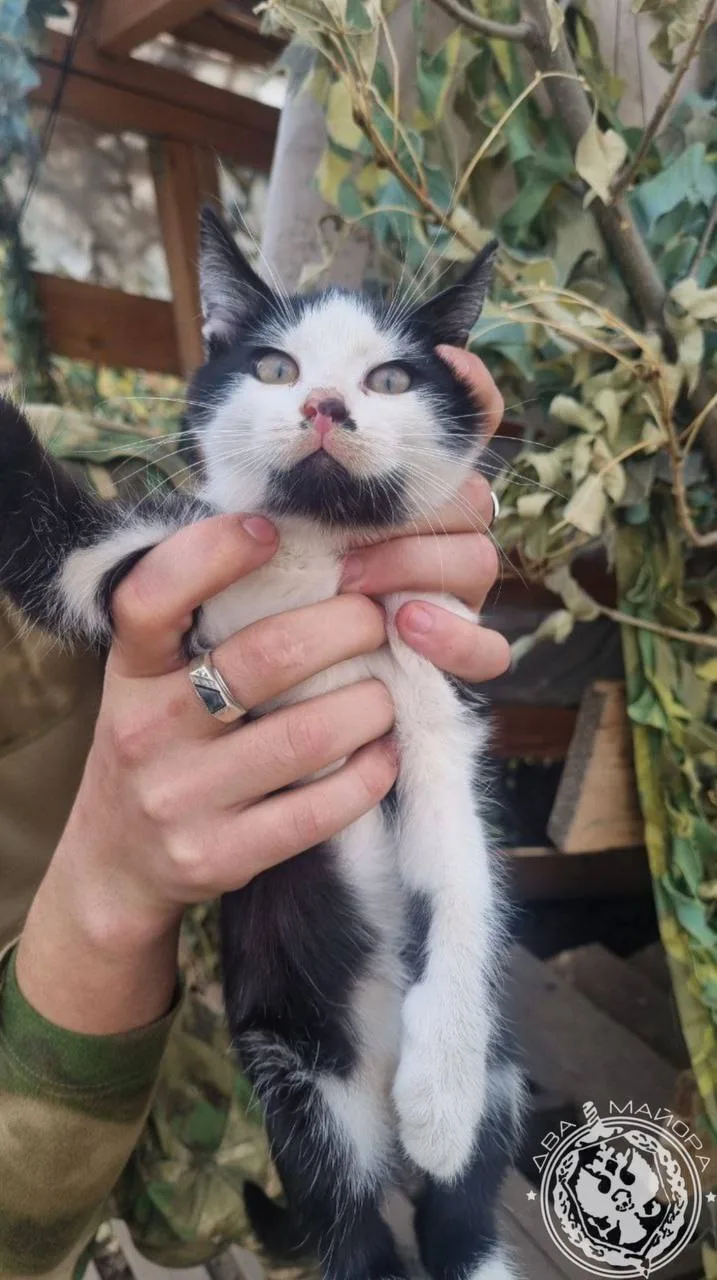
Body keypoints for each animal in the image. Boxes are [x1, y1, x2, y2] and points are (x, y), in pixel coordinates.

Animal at [0, 207, 525, 1280]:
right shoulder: (149, 559)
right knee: (351, 1231)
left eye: (392, 380)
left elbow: (460, 863)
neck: (314, 555)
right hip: (297, 1077)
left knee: (460, 1222)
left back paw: (447, 1154)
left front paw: (442, 1095)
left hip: (496, 1078)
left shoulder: (430, 676)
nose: (323, 405)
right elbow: (46, 544)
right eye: (276, 367)